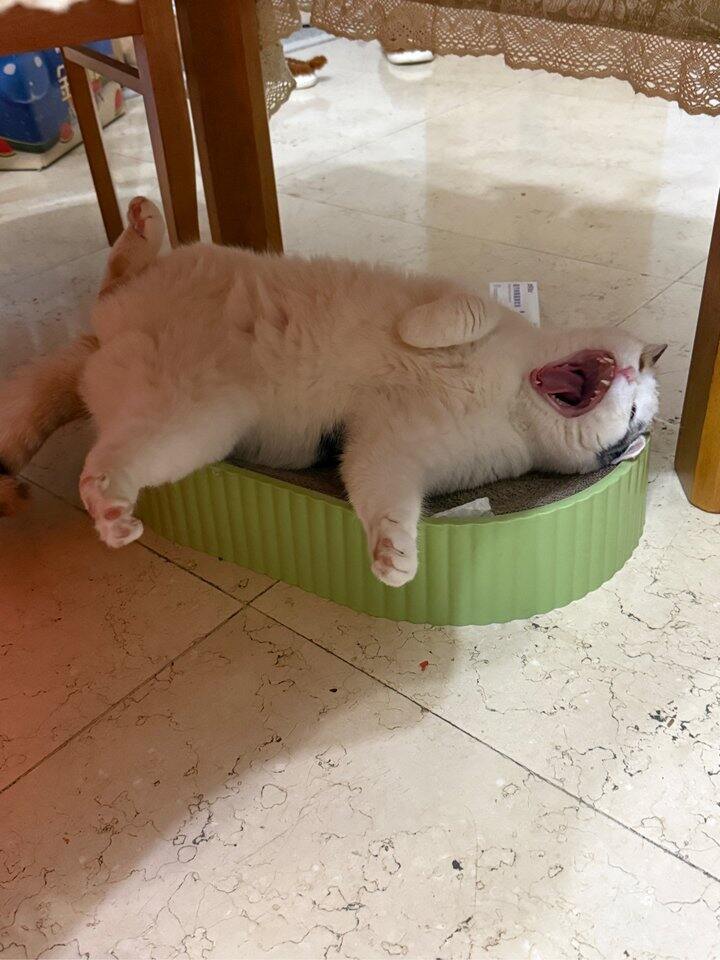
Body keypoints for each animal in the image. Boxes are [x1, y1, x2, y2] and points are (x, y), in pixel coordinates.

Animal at [0, 197, 664, 587]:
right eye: (632, 388)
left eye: (633, 413)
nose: (630, 377)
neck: (509, 392)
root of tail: (101, 345)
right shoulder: (465, 300)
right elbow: (456, 314)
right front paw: (418, 332)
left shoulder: (393, 451)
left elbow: (382, 493)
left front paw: (395, 559)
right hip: (186, 287)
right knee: (117, 275)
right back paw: (143, 222)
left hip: (189, 423)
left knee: (105, 458)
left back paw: (110, 509)